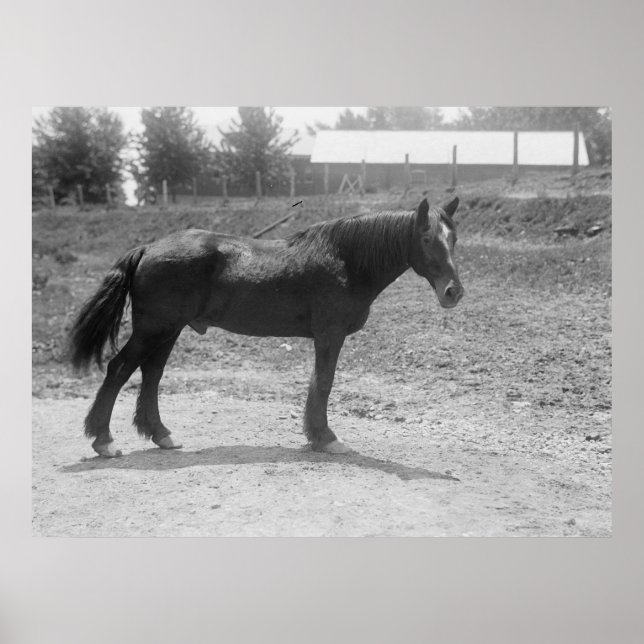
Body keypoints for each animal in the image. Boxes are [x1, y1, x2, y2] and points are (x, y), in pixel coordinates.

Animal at [69, 196, 464, 458]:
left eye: (454, 238)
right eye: (427, 238)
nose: (453, 291)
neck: (346, 260)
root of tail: (148, 248)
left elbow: (317, 383)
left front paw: (315, 435)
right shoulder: (330, 335)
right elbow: (324, 383)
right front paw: (325, 438)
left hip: (168, 331)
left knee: (151, 375)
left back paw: (162, 435)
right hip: (153, 329)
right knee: (120, 369)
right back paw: (104, 441)